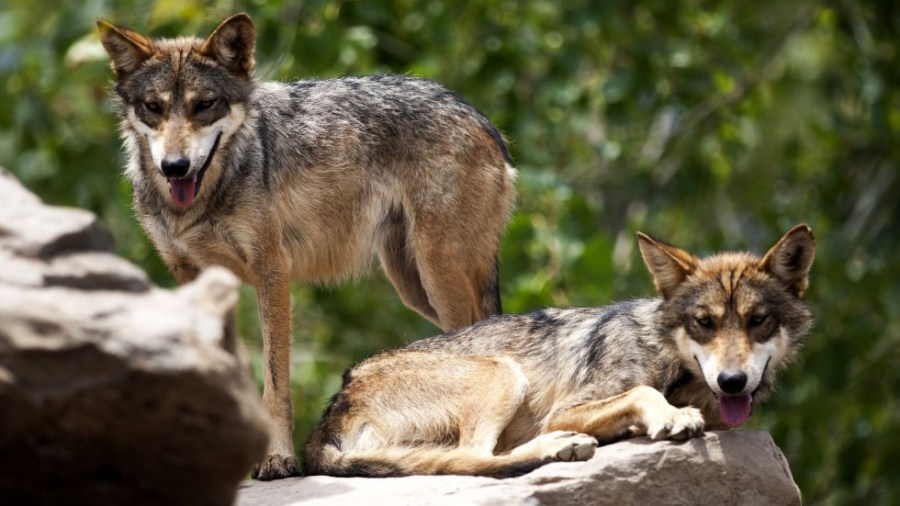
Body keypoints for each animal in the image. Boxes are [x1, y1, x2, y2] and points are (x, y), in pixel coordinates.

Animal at [95, 11, 516, 478]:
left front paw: (277, 458)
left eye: (205, 105)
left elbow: (276, 381)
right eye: (153, 107)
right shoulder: (194, 278)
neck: (202, 200)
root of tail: (481, 118)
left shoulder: (272, 271)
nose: (175, 166)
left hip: (438, 276)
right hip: (414, 286)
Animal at [304, 225, 816, 478]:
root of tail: (328, 418)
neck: (671, 359)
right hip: (503, 373)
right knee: (474, 457)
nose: (732, 382)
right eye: (704, 323)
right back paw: (560, 447)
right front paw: (669, 416)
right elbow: (643, 394)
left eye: (757, 321)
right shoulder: (566, 409)